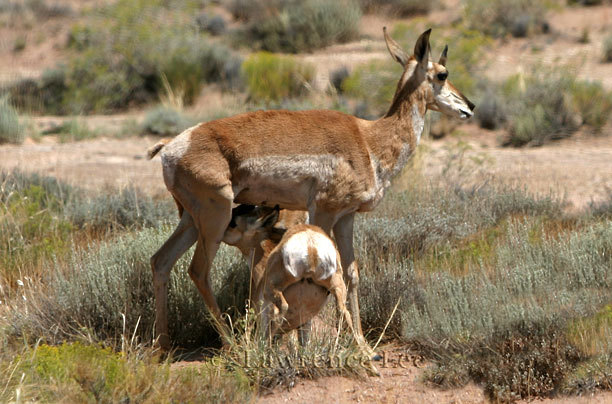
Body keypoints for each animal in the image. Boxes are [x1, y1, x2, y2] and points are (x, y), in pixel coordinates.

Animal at [147, 26, 474, 352]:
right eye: (442, 73)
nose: (469, 106)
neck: (368, 139)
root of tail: (173, 145)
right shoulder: (323, 213)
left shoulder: (346, 217)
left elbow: (352, 273)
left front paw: (362, 344)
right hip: (215, 218)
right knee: (198, 271)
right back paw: (232, 343)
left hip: (192, 220)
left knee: (161, 261)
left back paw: (163, 345)